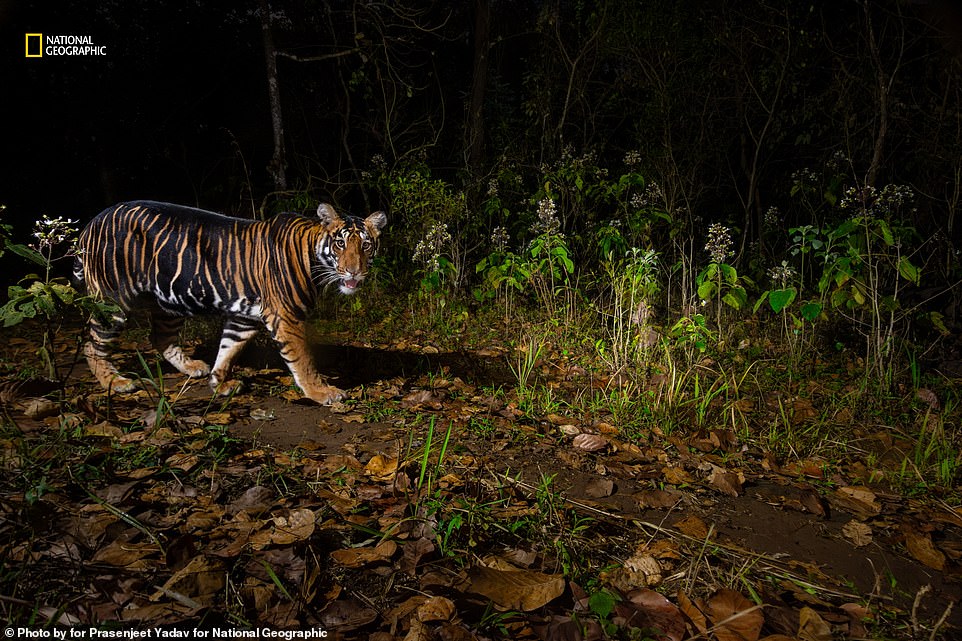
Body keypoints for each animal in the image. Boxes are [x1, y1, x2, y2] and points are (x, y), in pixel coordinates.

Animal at [73, 200, 387, 405]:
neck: (314, 257)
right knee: (92, 344)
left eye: (366, 245)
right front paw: (322, 393)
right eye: (340, 244)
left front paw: (219, 383)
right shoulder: (286, 316)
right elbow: (303, 360)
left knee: (160, 337)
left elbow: (228, 349)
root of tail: (91, 223)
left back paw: (192, 367)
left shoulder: (244, 317)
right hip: (112, 300)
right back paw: (116, 382)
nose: (354, 271)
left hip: (169, 300)